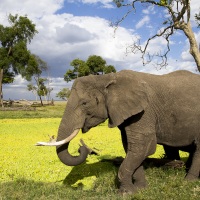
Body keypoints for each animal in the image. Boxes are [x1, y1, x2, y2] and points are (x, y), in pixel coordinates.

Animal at [36, 69, 200, 195]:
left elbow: (143, 147)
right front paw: (140, 190)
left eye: (84, 103)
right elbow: (130, 148)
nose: (83, 148)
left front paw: (125, 193)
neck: (107, 78)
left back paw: (188, 182)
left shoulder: (144, 111)